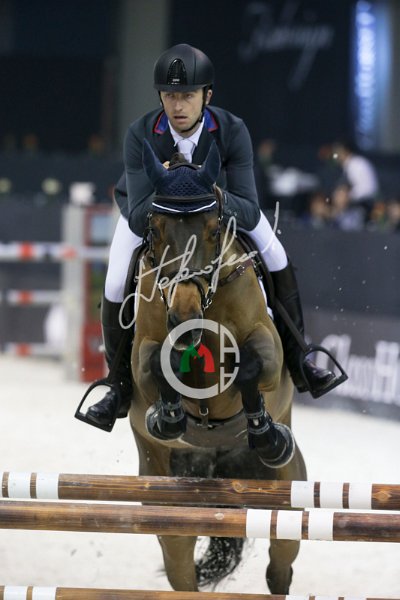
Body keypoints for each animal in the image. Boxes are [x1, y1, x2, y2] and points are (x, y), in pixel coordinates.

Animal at [128, 140, 307, 593]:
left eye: (213, 230)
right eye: (155, 229)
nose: (185, 316)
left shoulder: (268, 347)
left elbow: (249, 366)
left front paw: (263, 431)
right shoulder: (142, 357)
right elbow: (157, 363)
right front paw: (168, 417)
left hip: (288, 494)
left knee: (280, 564)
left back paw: (271, 439)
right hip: (167, 506)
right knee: (182, 568)